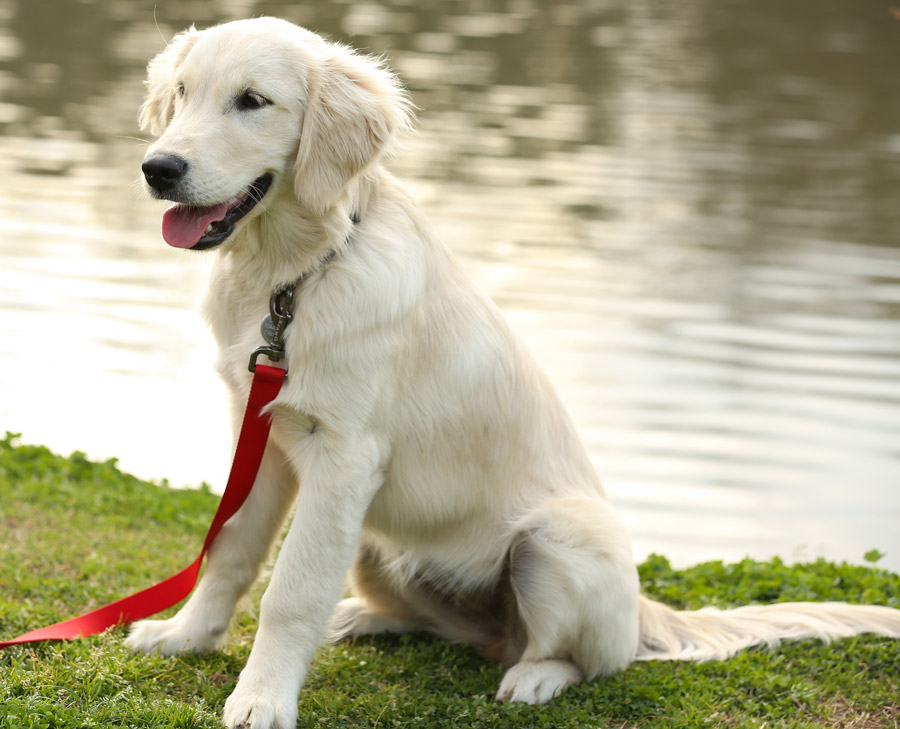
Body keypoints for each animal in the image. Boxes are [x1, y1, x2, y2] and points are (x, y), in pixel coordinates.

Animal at [125, 17, 900, 728]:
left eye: (253, 101)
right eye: (184, 92)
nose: (157, 169)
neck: (293, 276)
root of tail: (644, 611)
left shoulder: (342, 455)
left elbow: (290, 589)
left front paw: (261, 700)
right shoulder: (258, 431)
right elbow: (232, 547)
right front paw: (186, 637)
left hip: (557, 538)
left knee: (579, 656)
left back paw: (535, 676)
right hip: (377, 545)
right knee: (465, 631)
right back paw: (364, 618)